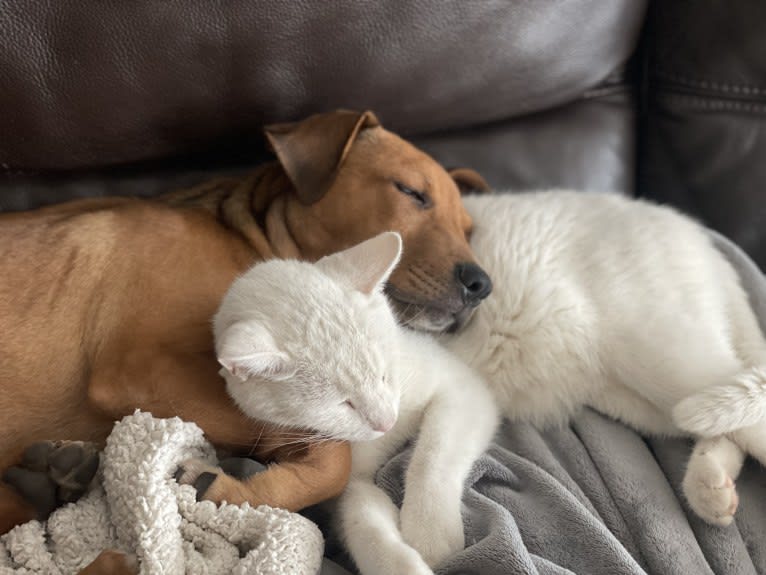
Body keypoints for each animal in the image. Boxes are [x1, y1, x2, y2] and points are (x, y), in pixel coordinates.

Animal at [213, 233, 498, 575]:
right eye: (343, 404)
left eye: (384, 375)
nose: (386, 422)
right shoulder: (347, 484)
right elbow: (363, 520)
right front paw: (400, 563)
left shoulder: (463, 387)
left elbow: (433, 456)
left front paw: (430, 531)